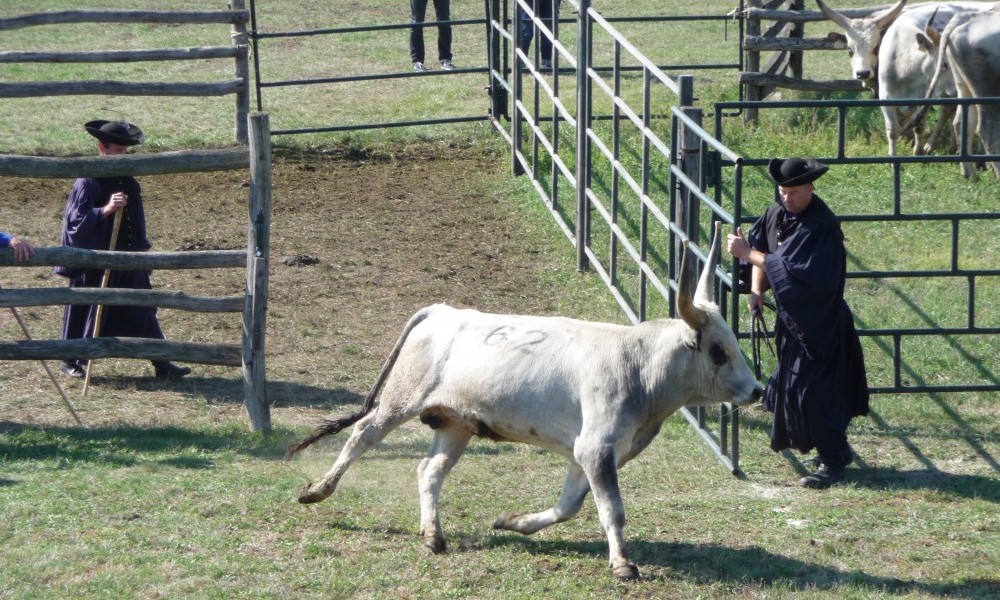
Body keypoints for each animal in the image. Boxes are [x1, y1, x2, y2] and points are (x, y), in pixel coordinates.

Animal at [286, 226, 760, 580]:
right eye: (718, 351)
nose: (756, 390)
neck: (637, 364)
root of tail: (443, 311)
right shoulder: (597, 448)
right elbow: (612, 510)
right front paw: (623, 564)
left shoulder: (592, 452)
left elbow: (569, 505)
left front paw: (513, 523)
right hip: (399, 400)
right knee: (360, 437)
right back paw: (317, 491)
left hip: (455, 423)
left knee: (429, 470)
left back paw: (433, 535)